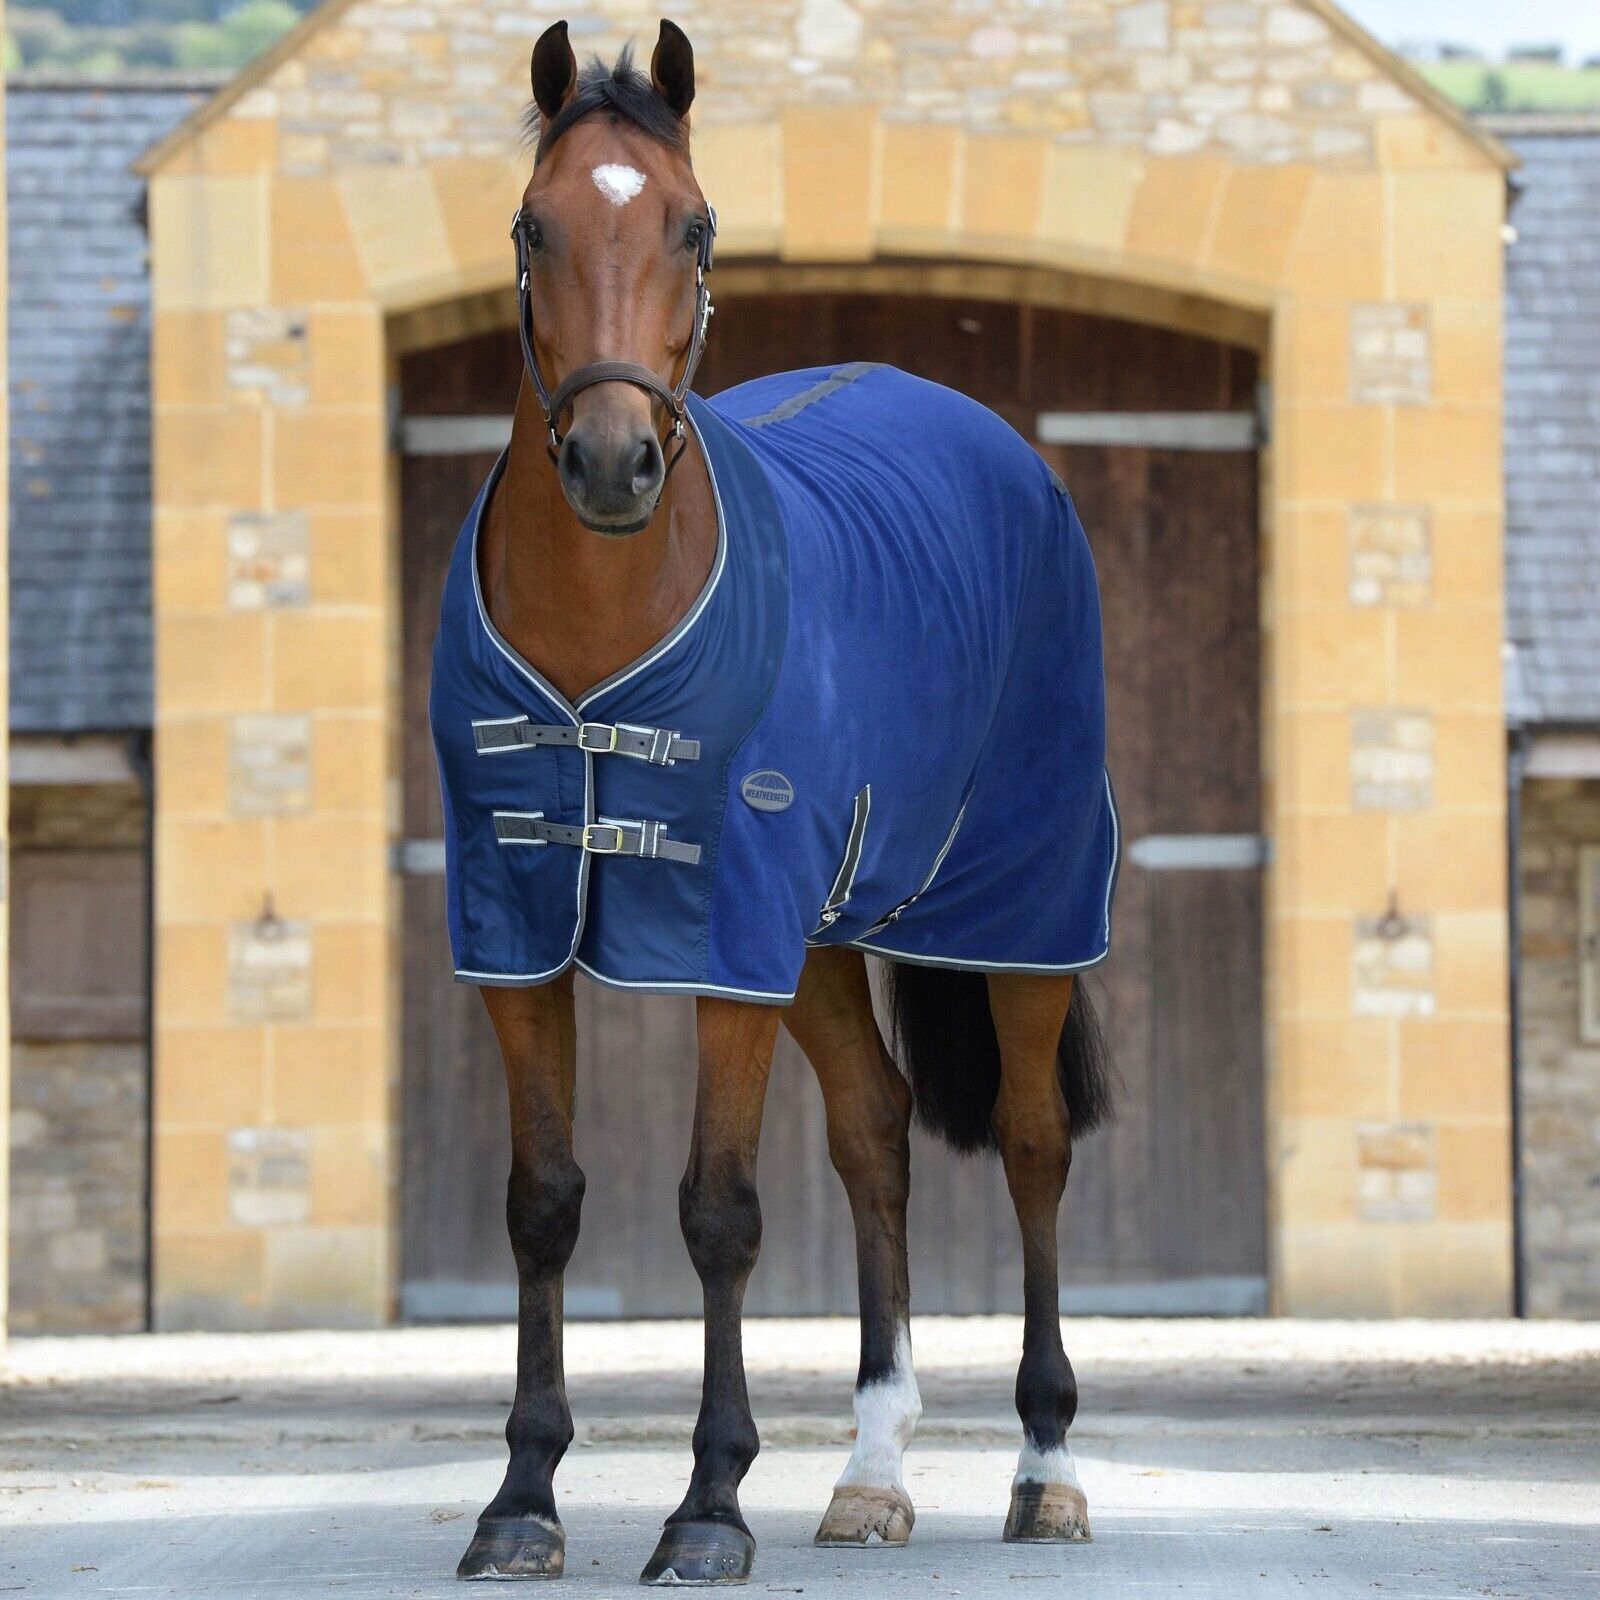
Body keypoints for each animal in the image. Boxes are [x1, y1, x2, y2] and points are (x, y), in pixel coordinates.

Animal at [432, 18, 1118, 1585]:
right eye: (532, 223)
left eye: (694, 225)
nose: (611, 462)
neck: (601, 639)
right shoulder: (515, 931)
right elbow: (542, 1204)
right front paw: (522, 1498)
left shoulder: (719, 935)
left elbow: (720, 1211)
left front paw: (706, 1506)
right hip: (814, 942)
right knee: (873, 1133)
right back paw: (871, 1471)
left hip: (1024, 908)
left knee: (1035, 1145)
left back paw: (1046, 1465)